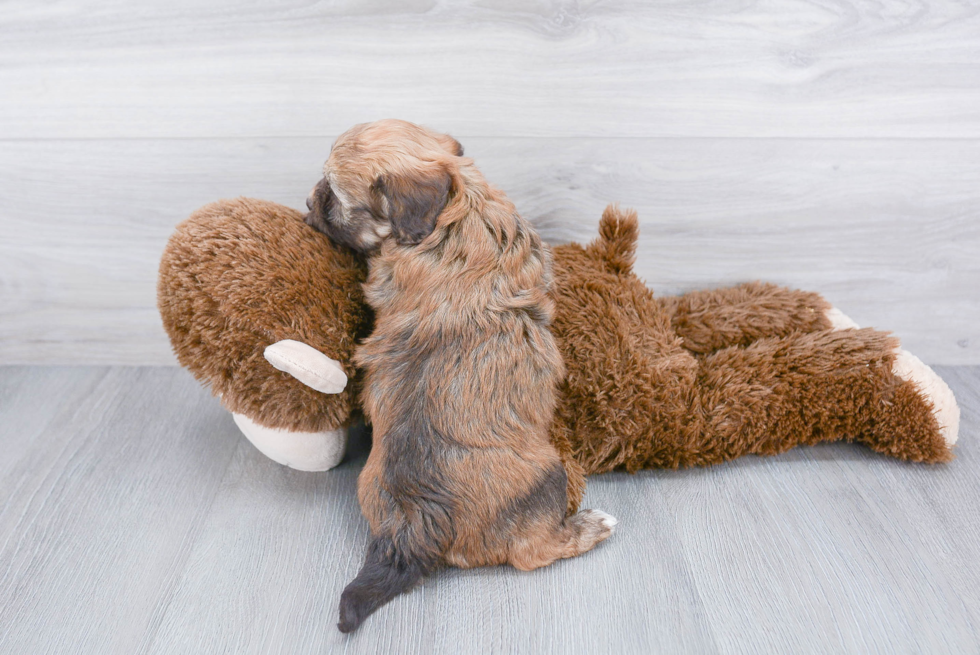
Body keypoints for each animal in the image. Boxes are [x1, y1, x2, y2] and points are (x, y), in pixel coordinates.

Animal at [306, 120, 612, 632]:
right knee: (533, 552)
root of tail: (413, 523)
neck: (457, 204)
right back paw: (590, 526)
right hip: (548, 475)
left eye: (331, 195)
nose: (308, 203)